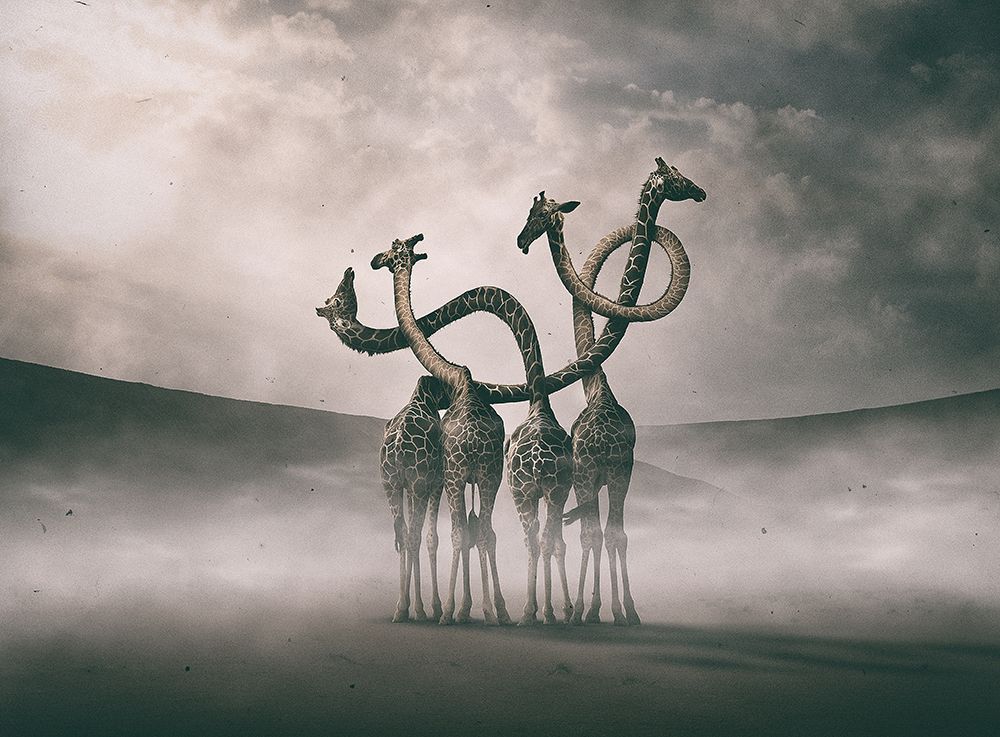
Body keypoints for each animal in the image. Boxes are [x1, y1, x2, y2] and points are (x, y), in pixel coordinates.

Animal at [371, 233, 510, 625]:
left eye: (396, 249)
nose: (375, 260)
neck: (456, 379)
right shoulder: (445, 480)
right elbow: (455, 533)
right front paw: (462, 606)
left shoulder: (433, 481)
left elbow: (435, 535)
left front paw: (434, 606)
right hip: (476, 476)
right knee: (476, 531)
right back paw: (480, 610)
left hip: (426, 480)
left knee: (425, 534)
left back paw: (430, 609)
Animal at [517, 158, 706, 625]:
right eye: (677, 175)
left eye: (538, 214)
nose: (521, 240)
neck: (599, 391)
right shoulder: (605, 473)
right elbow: (601, 534)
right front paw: (598, 608)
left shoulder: (614, 472)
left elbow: (607, 534)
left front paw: (611, 608)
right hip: (597, 477)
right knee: (591, 533)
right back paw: (582, 609)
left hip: (601, 477)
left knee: (596, 533)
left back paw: (594, 609)